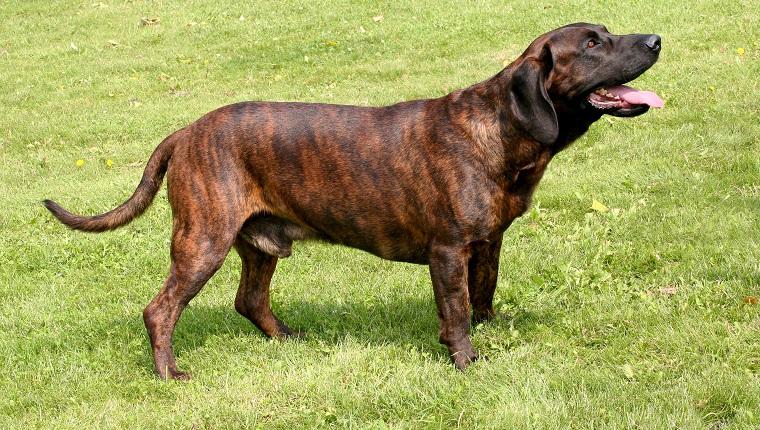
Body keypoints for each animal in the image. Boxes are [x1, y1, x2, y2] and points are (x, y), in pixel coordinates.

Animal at [44, 23, 664, 380]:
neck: (502, 128)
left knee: (249, 300)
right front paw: (466, 362)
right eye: (592, 44)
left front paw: (491, 332)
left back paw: (289, 340)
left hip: (259, 243)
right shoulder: (448, 250)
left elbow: (483, 296)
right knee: (161, 309)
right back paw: (169, 373)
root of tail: (184, 132)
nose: (656, 40)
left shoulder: (488, 242)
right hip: (203, 240)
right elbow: (458, 311)